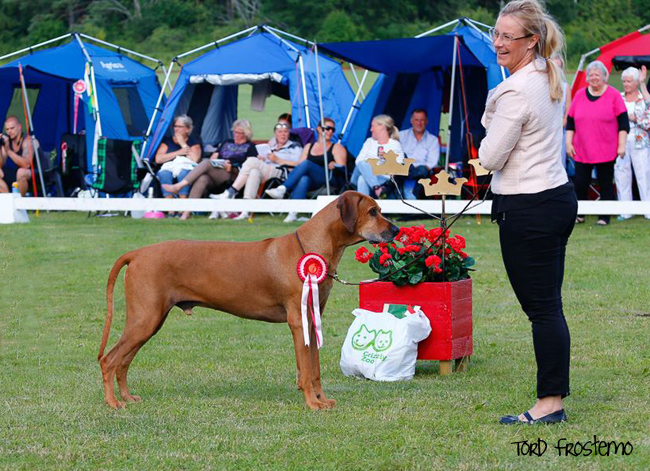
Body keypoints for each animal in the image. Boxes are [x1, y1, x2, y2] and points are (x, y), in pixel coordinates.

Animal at [98, 191, 398, 410]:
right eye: (373, 211)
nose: (396, 230)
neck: (311, 247)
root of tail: (137, 253)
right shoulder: (298, 320)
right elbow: (305, 370)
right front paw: (312, 403)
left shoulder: (313, 318)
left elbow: (315, 369)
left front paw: (321, 399)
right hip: (145, 319)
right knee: (109, 360)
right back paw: (113, 402)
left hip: (150, 320)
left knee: (123, 361)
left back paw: (127, 397)